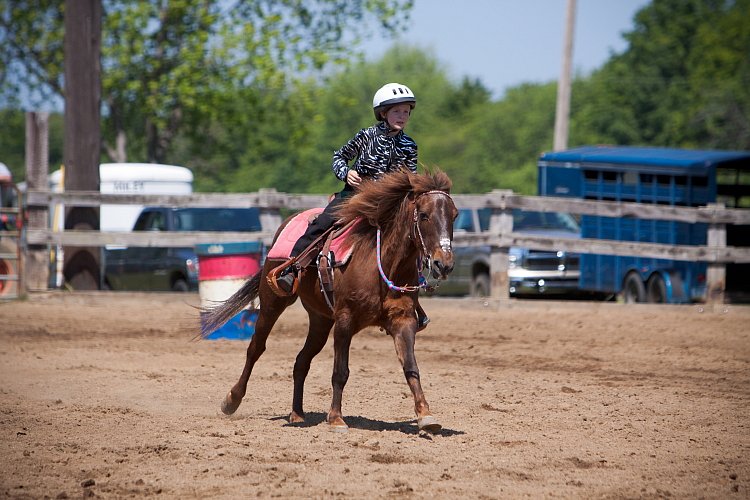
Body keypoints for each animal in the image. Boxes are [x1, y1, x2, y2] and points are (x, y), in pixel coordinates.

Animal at [201, 169, 458, 434]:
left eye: (454, 215)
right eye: (424, 215)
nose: (444, 264)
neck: (383, 264)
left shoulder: (403, 321)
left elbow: (411, 367)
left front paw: (425, 415)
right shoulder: (345, 320)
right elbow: (340, 372)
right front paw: (335, 418)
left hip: (320, 320)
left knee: (301, 361)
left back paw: (297, 414)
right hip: (273, 302)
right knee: (256, 348)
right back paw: (231, 400)